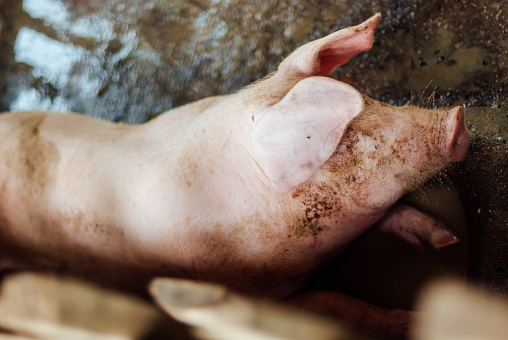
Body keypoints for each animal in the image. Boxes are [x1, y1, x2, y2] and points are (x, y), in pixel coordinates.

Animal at [0, 14, 468, 338]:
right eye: (344, 142)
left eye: (369, 99)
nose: (458, 119)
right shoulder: (254, 294)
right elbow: (336, 304)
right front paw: (418, 320)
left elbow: (396, 215)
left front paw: (447, 240)